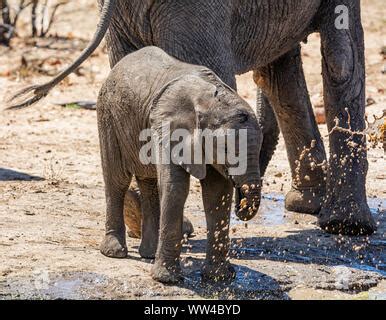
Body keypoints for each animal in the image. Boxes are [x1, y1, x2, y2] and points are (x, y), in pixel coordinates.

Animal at [9, 0, 376, 235]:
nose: (245, 205)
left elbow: (280, 74)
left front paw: (306, 207)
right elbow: (342, 59)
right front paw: (348, 227)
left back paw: (144, 222)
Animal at [98, 47, 264, 282]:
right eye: (224, 149)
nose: (241, 203)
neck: (210, 102)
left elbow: (217, 193)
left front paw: (219, 278)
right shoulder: (168, 128)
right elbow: (175, 187)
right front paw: (167, 279)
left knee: (149, 183)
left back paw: (149, 254)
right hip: (108, 115)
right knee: (117, 180)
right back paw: (114, 252)